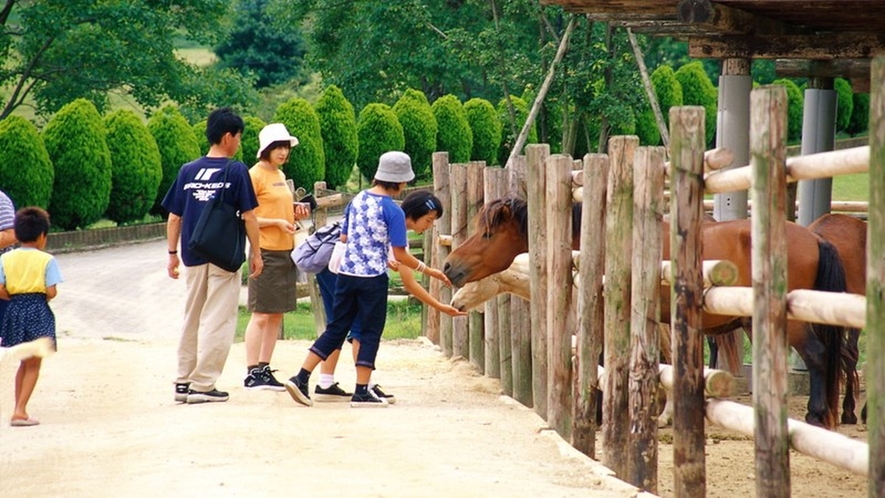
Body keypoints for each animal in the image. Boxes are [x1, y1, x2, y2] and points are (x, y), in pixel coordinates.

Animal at [446, 195, 852, 428]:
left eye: (487, 234)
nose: (450, 267)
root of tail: (815, 237)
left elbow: (604, 361)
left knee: (818, 357)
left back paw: (817, 417)